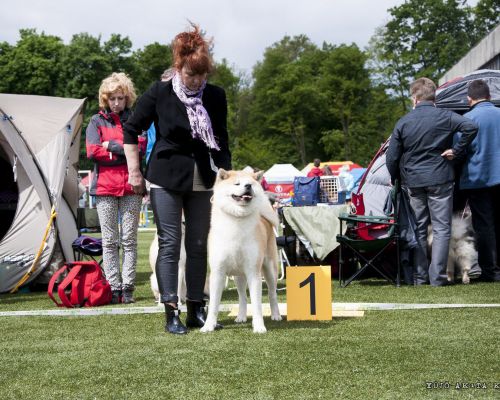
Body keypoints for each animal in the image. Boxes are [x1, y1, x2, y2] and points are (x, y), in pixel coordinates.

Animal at [201, 169, 284, 334]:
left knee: (272, 294)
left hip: (270, 270)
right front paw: (208, 325)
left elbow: (257, 305)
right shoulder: (218, 272)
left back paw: (276, 315)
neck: (237, 221)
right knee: (242, 297)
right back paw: (241, 316)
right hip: (238, 275)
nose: (248, 187)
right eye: (237, 183)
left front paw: (259, 327)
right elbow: (213, 304)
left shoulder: (253, 272)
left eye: (250, 183)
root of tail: (265, 218)